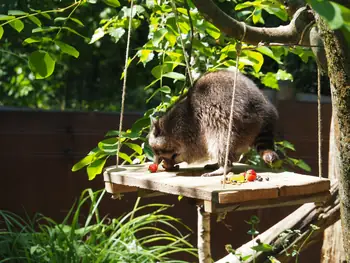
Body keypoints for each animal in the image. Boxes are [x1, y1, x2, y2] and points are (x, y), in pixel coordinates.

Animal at [148, 69, 278, 176]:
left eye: (157, 151)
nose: (156, 162)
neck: (168, 128)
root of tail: (262, 109)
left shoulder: (187, 127)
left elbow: (194, 151)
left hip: (230, 119)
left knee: (220, 140)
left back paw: (224, 166)